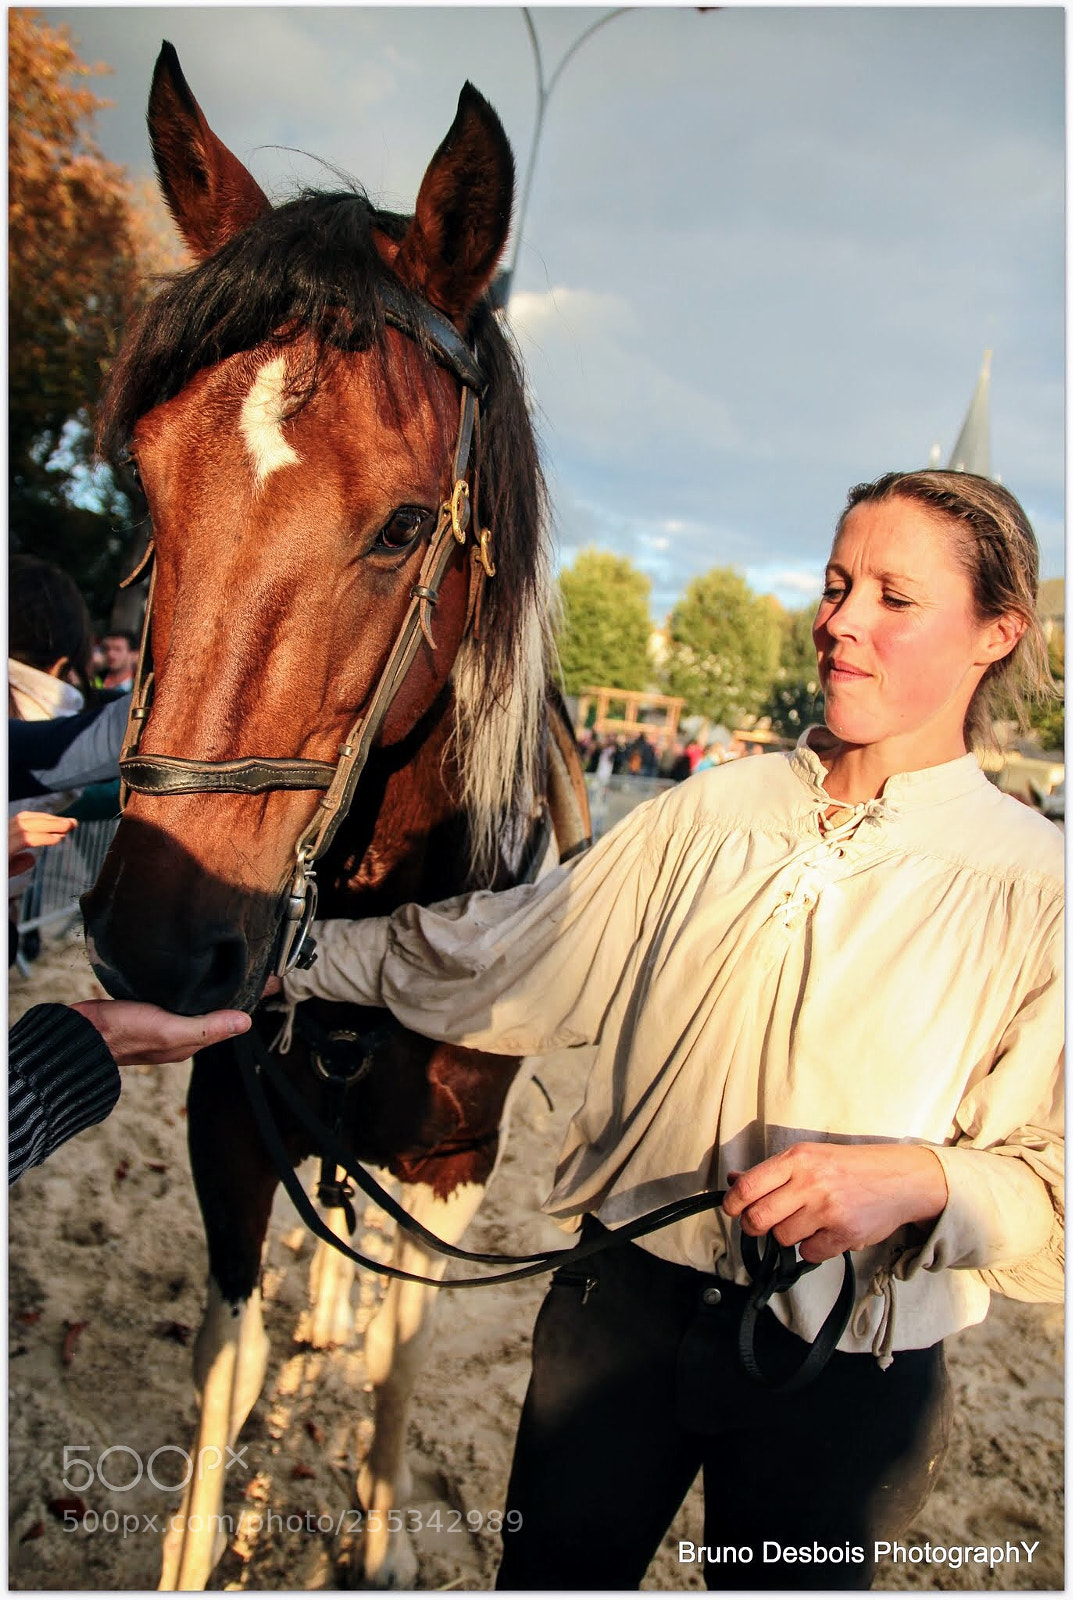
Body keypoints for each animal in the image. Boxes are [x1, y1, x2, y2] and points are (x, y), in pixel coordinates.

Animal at [81, 43, 590, 1589]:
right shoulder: (229, 1131)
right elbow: (220, 1359)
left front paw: (375, 1533)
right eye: (144, 476)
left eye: (407, 524)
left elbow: (401, 1366)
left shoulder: (452, 1165)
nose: (159, 941)